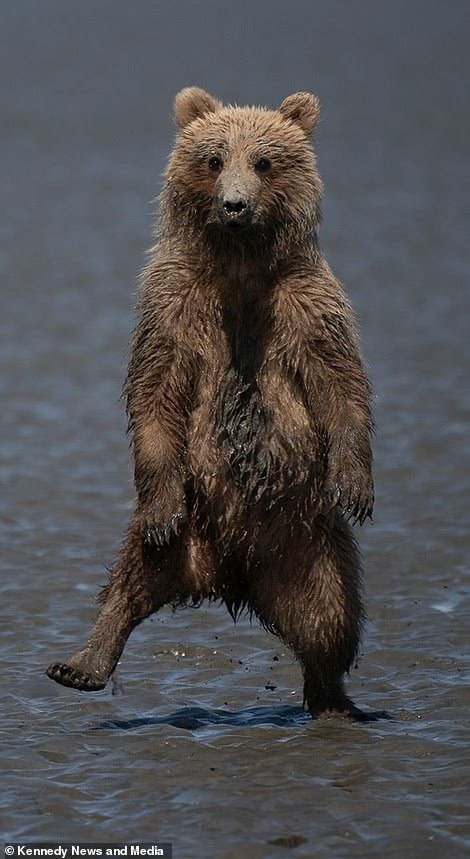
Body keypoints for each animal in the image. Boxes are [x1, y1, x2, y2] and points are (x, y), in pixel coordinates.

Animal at [47, 87, 386, 724]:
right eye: (213, 158)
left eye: (265, 161)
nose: (234, 205)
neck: (239, 261)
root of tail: (232, 576)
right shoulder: (173, 305)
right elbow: (153, 392)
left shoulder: (304, 303)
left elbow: (341, 384)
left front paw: (355, 485)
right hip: (191, 520)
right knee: (134, 573)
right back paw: (83, 662)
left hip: (309, 544)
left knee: (331, 618)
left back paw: (335, 699)